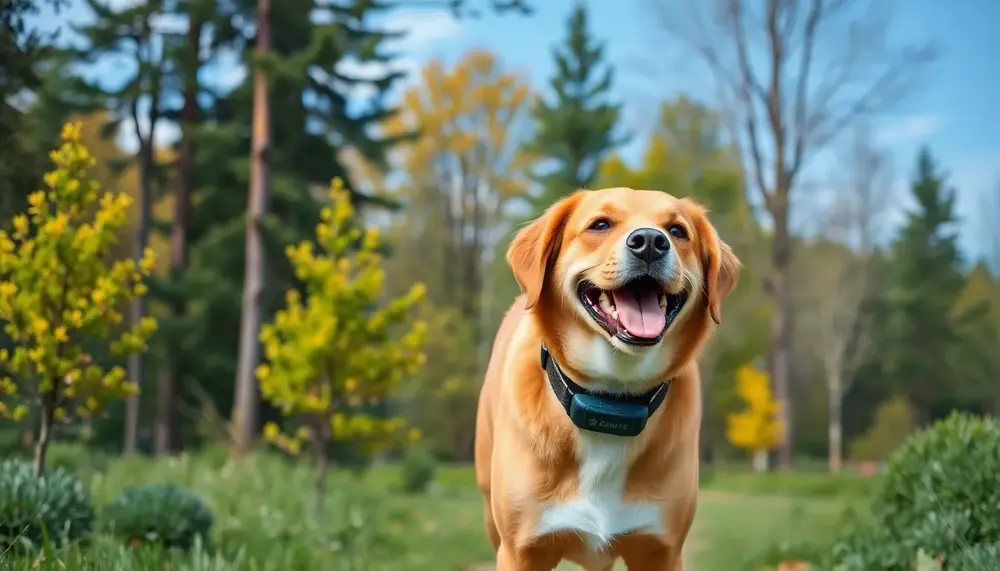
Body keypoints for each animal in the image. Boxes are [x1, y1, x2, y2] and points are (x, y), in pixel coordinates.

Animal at [472, 189, 740, 571]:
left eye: (677, 230)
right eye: (600, 224)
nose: (650, 242)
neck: (611, 400)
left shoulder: (661, 550)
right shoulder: (522, 552)